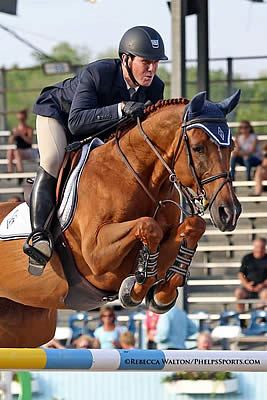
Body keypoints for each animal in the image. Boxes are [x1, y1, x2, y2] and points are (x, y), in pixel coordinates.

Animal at [0, 90, 243, 346]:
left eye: (232, 147)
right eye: (198, 148)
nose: (229, 212)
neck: (138, 177)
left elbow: (194, 225)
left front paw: (161, 293)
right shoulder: (96, 255)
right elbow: (149, 225)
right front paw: (137, 286)